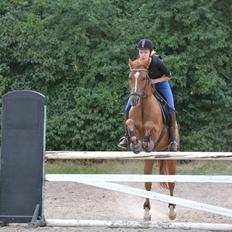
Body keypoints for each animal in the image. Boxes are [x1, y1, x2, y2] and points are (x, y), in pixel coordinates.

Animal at [125, 58, 179, 221]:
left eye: (144, 78)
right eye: (130, 78)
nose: (134, 100)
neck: (143, 106)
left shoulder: (156, 130)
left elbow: (150, 127)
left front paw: (145, 141)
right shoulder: (132, 122)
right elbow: (130, 123)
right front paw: (135, 144)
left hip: (170, 154)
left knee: (171, 182)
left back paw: (172, 210)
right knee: (149, 182)